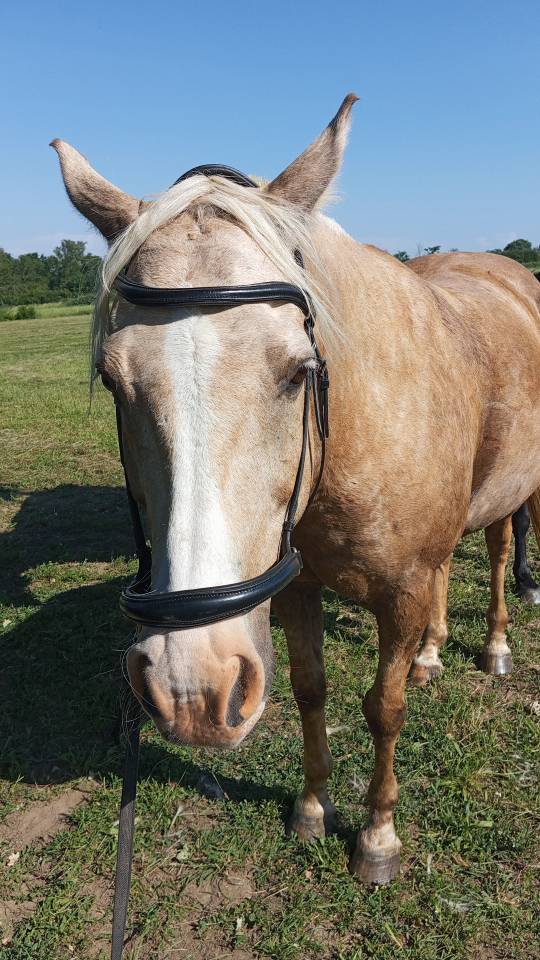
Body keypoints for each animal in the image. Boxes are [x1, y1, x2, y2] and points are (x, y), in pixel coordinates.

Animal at [52, 94, 540, 884]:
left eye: (298, 371)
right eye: (113, 381)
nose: (194, 687)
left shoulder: (401, 591)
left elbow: (384, 707)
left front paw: (377, 836)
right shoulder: (295, 587)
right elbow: (312, 688)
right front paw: (313, 808)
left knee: (498, 551)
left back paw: (494, 641)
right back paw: (434, 651)